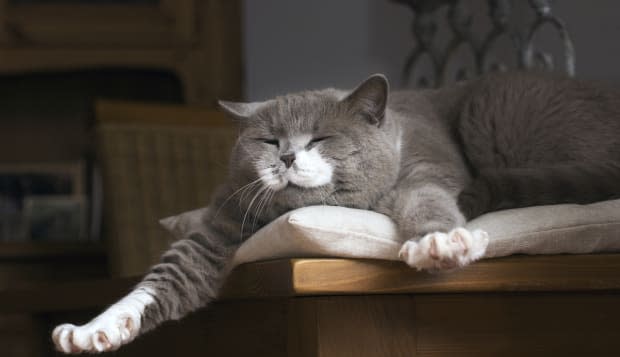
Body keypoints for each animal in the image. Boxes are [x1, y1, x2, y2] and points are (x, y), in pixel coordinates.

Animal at [52, 71, 620, 350]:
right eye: (267, 139)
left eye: (321, 138)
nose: (285, 157)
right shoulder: (223, 217)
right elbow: (169, 276)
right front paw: (94, 330)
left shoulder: (425, 168)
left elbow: (429, 200)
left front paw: (438, 244)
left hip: (497, 114)